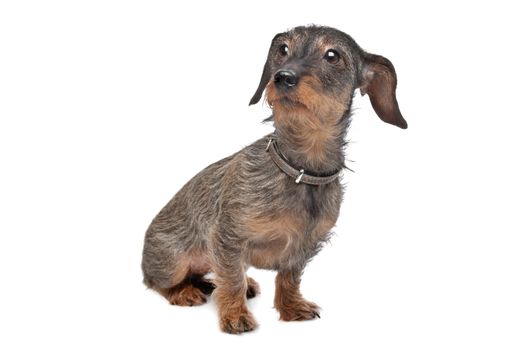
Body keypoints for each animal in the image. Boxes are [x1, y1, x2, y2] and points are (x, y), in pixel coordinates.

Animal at [140, 25, 406, 334]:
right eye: (283, 50)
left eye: (332, 55)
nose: (283, 77)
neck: (299, 171)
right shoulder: (227, 238)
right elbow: (231, 279)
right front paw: (235, 315)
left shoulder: (303, 248)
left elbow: (288, 279)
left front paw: (291, 307)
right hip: (174, 262)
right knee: (157, 282)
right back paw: (183, 291)